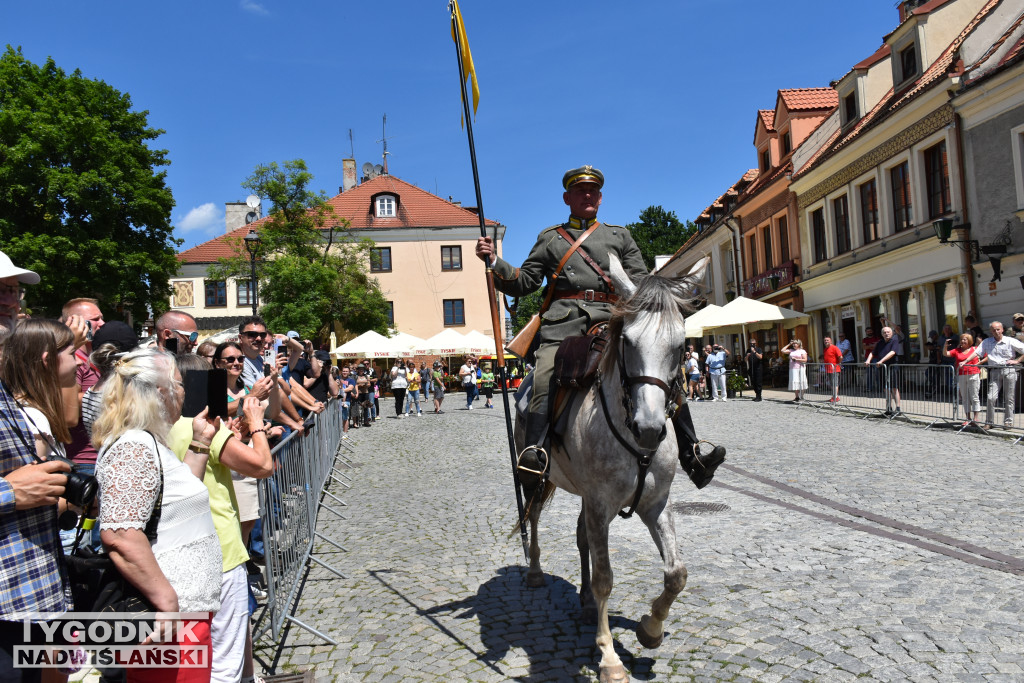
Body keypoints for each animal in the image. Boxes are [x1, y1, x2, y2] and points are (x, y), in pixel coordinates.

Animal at [516, 253, 708, 679]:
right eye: (628, 341)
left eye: (680, 345)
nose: (649, 429)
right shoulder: (601, 504)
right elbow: (605, 578)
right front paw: (609, 658)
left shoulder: (655, 504)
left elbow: (677, 573)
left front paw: (650, 629)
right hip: (536, 477)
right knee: (533, 515)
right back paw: (534, 573)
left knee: (581, 538)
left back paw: (587, 604)